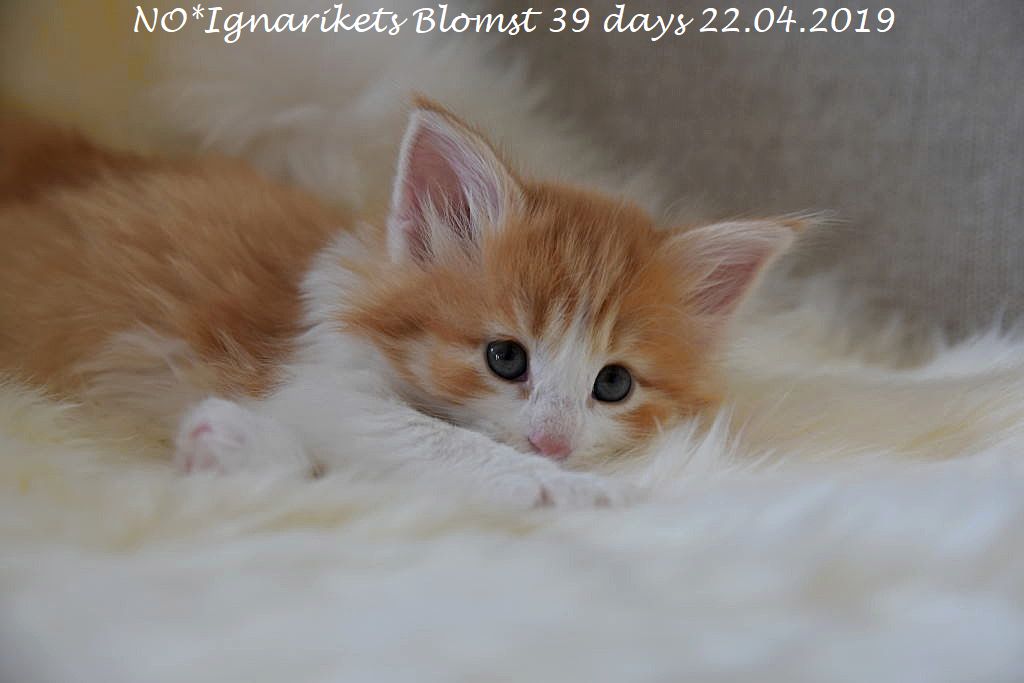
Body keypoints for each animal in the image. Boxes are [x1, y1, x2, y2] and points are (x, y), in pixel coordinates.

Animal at [0, 102, 803, 506]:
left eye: (613, 383)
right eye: (504, 357)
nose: (552, 444)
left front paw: (229, 446)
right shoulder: (311, 377)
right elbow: (434, 438)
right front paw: (580, 491)